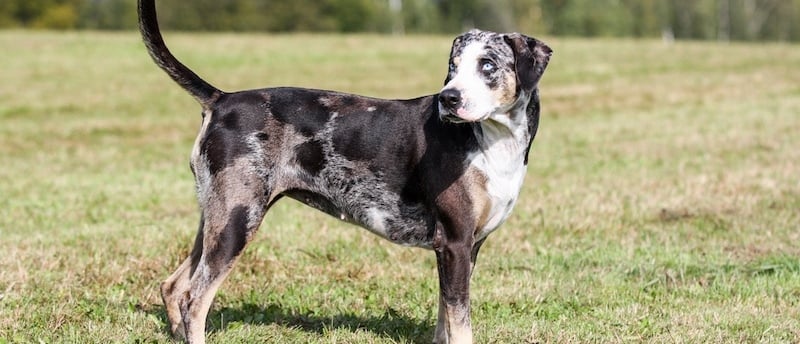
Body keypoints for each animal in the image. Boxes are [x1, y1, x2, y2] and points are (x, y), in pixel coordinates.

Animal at [138, 1, 552, 342]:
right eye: (453, 67)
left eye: (487, 65)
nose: (449, 98)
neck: (490, 141)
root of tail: (221, 100)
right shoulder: (454, 243)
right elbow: (460, 323)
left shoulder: (463, 248)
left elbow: (445, 318)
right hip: (237, 222)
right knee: (194, 299)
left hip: (216, 218)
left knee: (173, 287)